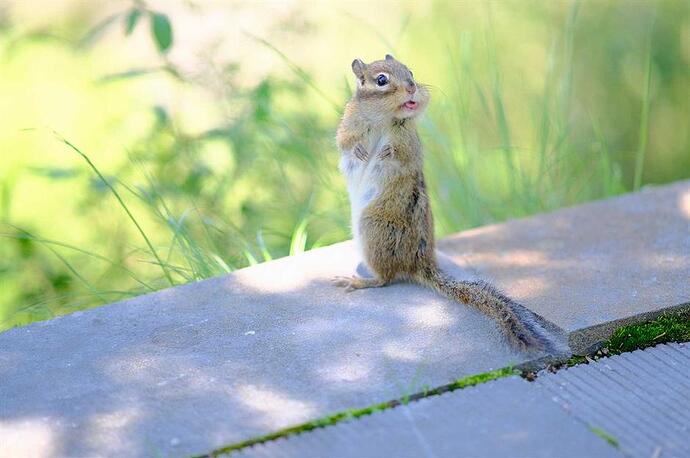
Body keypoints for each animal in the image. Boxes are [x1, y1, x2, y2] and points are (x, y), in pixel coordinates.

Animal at [333, 54, 551, 352]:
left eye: (410, 71)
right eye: (381, 80)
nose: (412, 87)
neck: (383, 118)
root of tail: (420, 263)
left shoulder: (409, 140)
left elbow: (402, 155)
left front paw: (386, 152)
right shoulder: (348, 125)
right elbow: (345, 142)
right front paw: (360, 150)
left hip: (372, 229)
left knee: (386, 279)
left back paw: (358, 281)